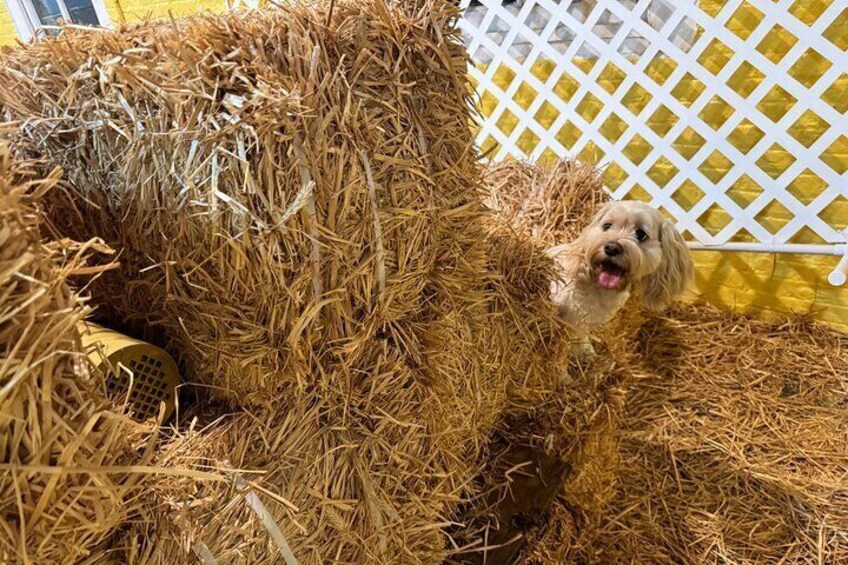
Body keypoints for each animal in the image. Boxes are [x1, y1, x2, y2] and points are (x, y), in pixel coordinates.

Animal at [548, 200, 696, 360]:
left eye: (641, 234)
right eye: (606, 226)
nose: (612, 248)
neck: (598, 289)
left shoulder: (584, 323)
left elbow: (580, 338)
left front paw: (585, 352)